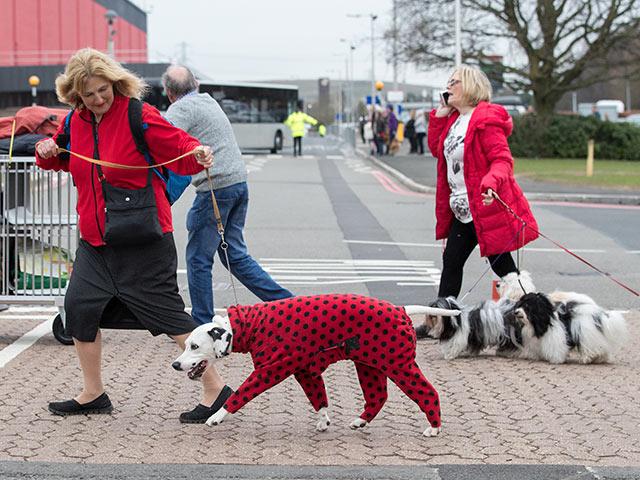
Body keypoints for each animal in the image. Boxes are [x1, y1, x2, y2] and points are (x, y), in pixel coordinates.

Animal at [171, 294, 460, 436]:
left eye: (194, 346)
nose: (175, 364)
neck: (249, 326)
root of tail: (401, 308)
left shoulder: (269, 370)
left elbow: (240, 395)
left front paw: (217, 416)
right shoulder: (306, 372)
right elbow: (318, 398)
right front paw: (323, 421)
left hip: (399, 366)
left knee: (428, 392)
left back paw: (434, 427)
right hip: (369, 367)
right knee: (378, 397)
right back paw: (360, 421)